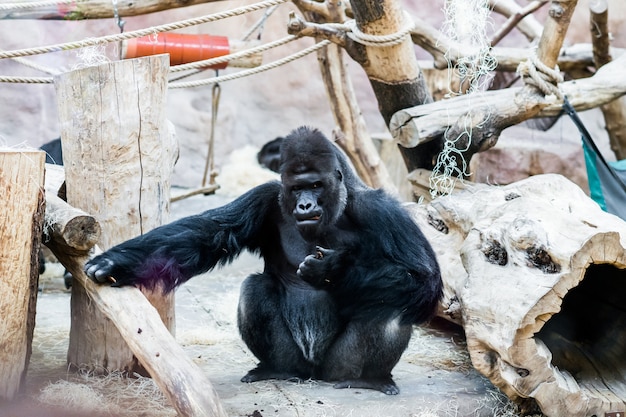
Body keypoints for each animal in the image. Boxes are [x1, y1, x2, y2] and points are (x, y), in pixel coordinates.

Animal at [85, 126, 442, 394]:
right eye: (297, 188)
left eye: (316, 185)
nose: (305, 205)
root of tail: (315, 375)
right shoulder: (267, 196)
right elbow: (207, 234)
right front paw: (115, 263)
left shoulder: (383, 211)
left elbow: (423, 280)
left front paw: (333, 270)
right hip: (297, 363)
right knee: (254, 288)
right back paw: (275, 370)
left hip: (337, 367)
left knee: (393, 301)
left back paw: (369, 378)